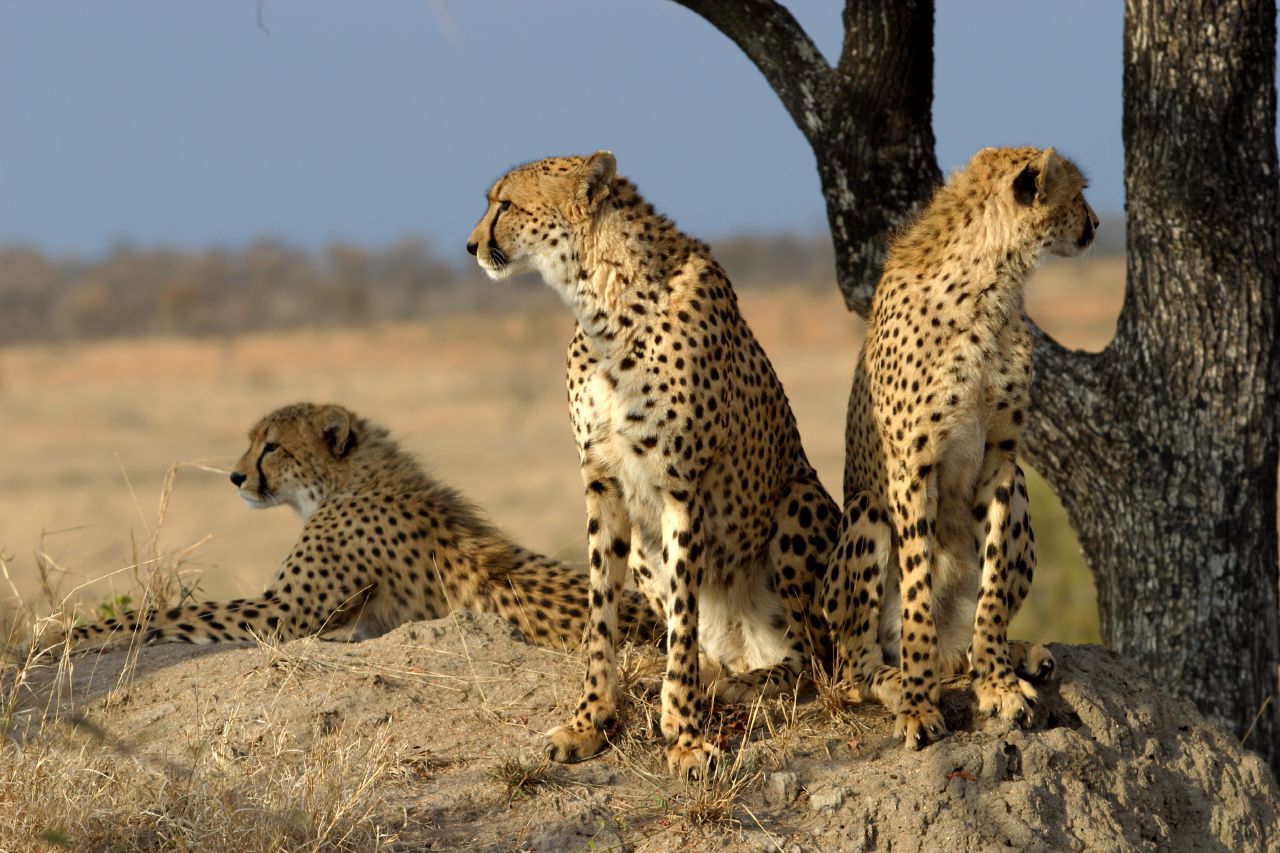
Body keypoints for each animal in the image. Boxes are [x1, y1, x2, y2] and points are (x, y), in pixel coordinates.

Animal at [33, 402, 662, 656]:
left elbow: (172, 613)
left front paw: (75, 634)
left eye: (272, 446)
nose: (236, 477)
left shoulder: (284, 613)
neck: (349, 481)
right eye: (252, 442)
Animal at [467, 151, 839, 777]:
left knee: (816, 656)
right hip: (646, 548)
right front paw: (590, 721)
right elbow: (602, 614)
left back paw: (748, 682)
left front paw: (685, 736)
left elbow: (684, 618)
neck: (603, 300)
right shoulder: (603, 482)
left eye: (506, 203)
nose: (470, 245)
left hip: (797, 501)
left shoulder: (680, 486)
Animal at [823, 146, 1098, 749]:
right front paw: (918, 705)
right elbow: (918, 597)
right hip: (866, 515)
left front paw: (997, 682)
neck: (990, 286)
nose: (1095, 224)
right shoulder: (912, 468)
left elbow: (991, 591)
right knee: (855, 665)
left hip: (1020, 494)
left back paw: (1010, 653)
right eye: (1079, 193)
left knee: (965, 637)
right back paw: (895, 680)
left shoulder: (1001, 459)